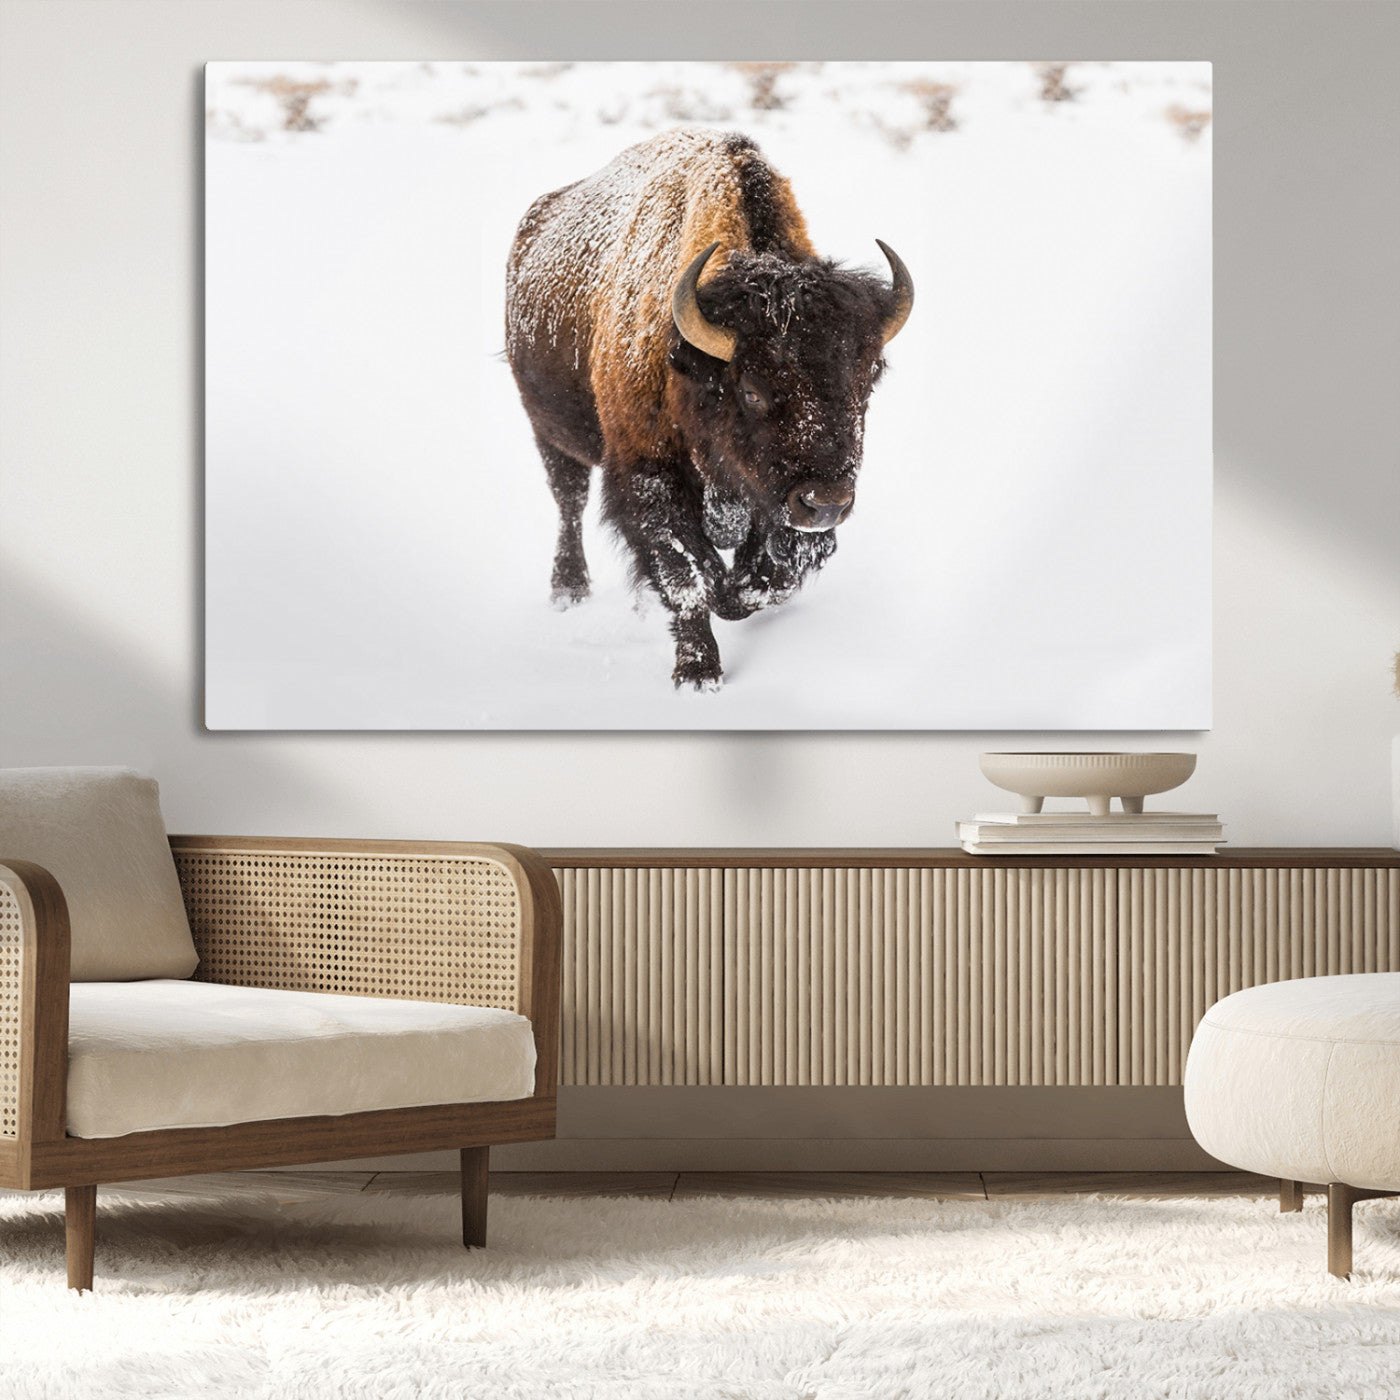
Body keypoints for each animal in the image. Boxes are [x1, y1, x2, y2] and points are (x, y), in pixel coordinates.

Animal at [505, 126, 912, 690]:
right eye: (753, 390)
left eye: (868, 381)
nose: (826, 503)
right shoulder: (649, 476)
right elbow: (689, 576)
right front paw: (698, 673)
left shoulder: (774, 503)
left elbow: (769, 577)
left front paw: (736, 596)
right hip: (550, 432)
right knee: (569, 501)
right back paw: (569, 590)